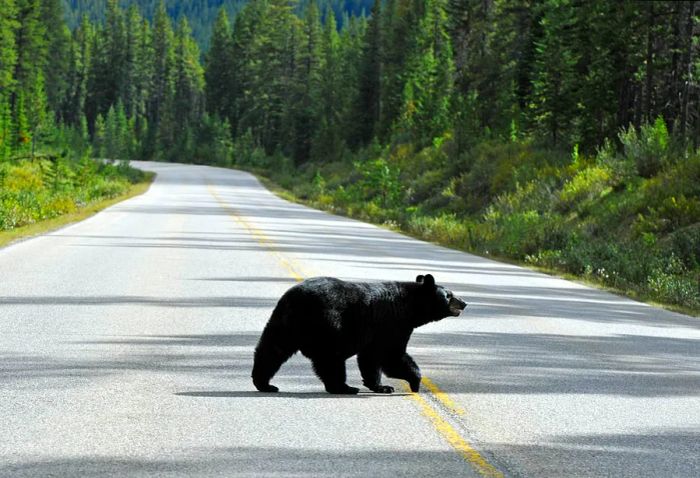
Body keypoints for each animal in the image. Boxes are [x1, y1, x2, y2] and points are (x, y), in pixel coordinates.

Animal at [252, 274, 464, 394]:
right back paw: (344, 388)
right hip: (329, 326)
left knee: (272, 350)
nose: (464, 303)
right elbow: (391, 355)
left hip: (284, 324)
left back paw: (264, 384)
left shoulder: (378, 332)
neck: (409, 307)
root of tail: (297, 299)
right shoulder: (392, 324)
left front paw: (381, 386)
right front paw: (414, 382)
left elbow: (371, 358)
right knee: (331, 359)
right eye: (449, 295)